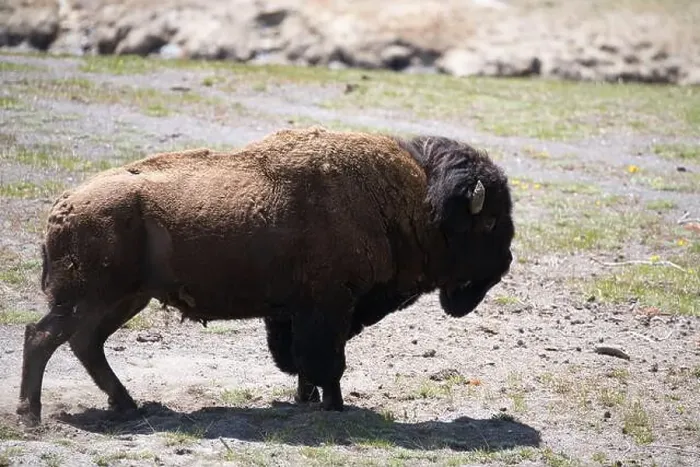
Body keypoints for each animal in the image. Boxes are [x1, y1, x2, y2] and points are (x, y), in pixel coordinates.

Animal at [17, 126, 514, 425]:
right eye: (489, 221)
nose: (506, 262)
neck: (410, 199)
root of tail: (63, 205)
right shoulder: (328, 308)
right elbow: (326, 361)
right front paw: (335, 406)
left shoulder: (298, 314)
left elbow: (302, 361)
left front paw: (306, 398)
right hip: (89, 298)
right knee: (42, 338)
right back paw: (31, 414)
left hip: (124, 300)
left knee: (85, 344)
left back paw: (126, 405)